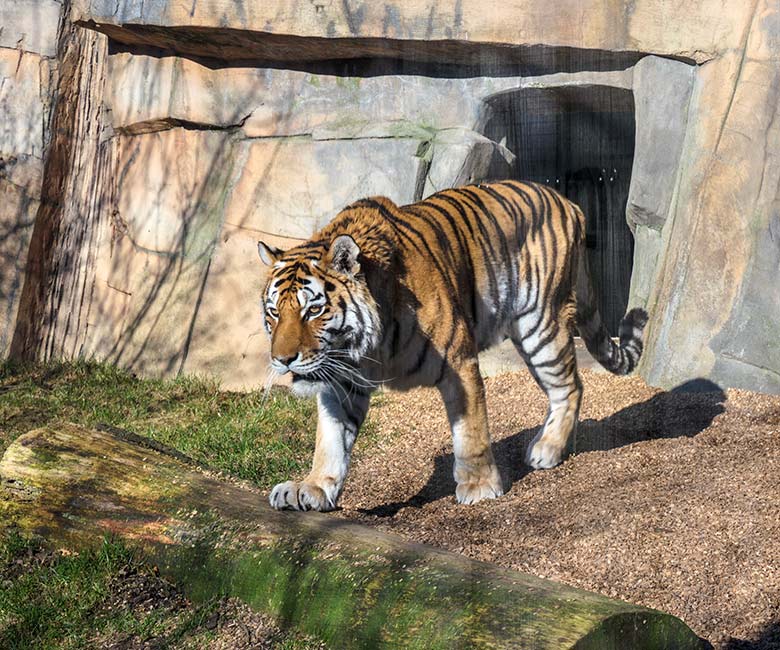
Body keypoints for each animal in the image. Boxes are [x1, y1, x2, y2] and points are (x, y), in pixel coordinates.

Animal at [258, 180, 648, 508]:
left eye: (313, 310)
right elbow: (330, 440)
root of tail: (569, 203)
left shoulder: (459, 362)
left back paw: (547, 449)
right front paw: (311, 488)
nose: (283, 359)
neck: (365, 351)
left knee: (571, 386)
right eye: (274, 313)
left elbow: (470, 430)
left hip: (540, 324)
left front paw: (479, 486)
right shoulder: (341, 381)